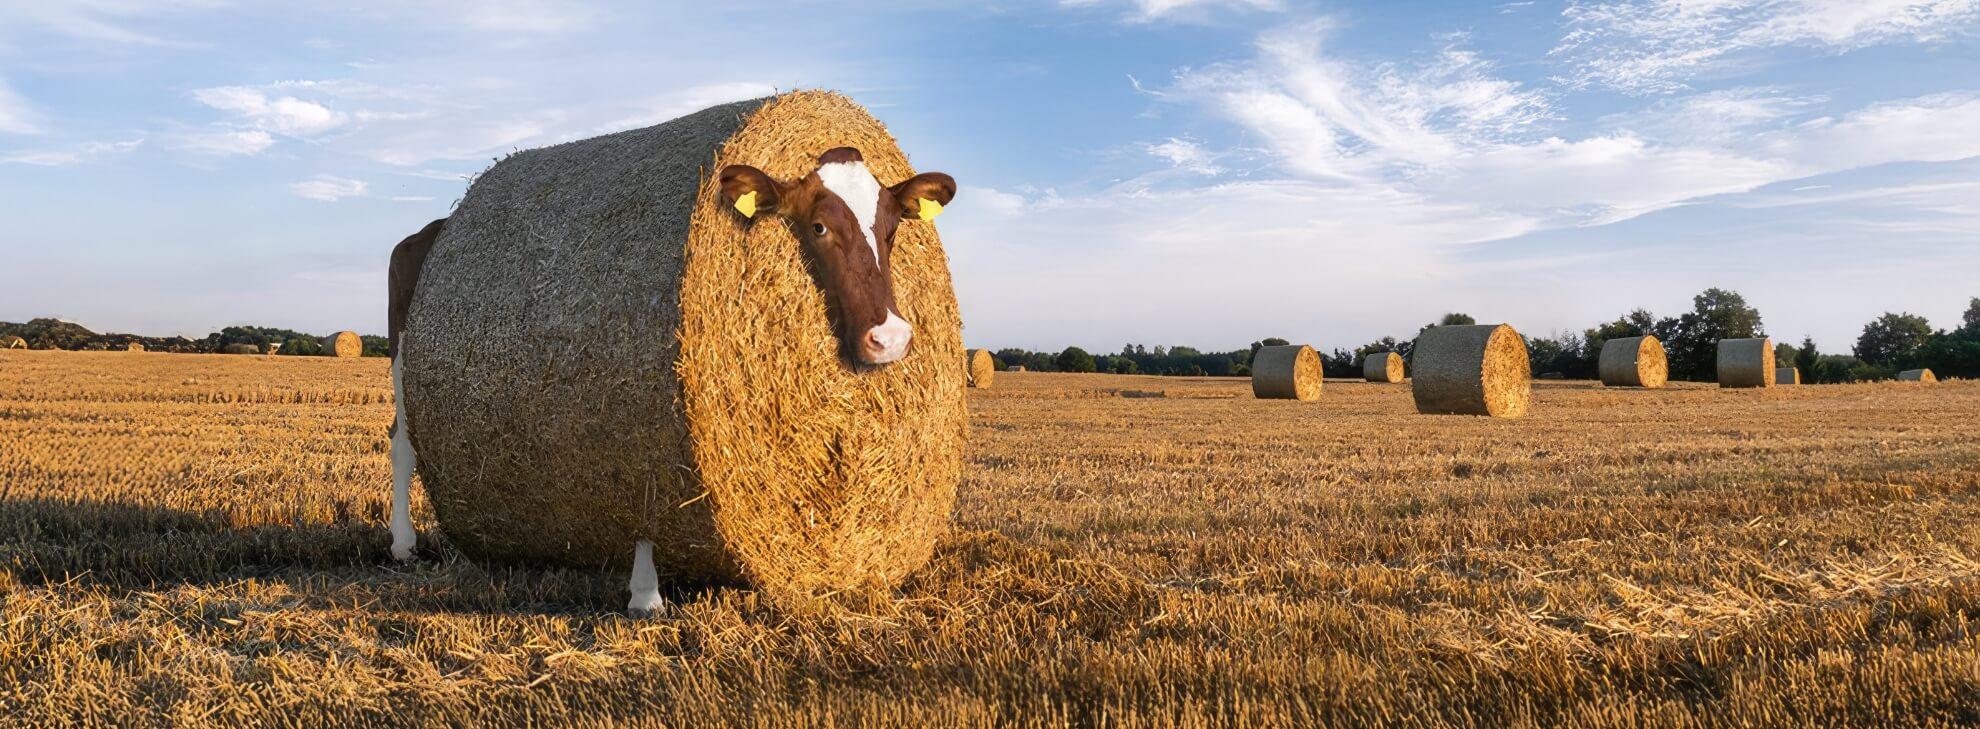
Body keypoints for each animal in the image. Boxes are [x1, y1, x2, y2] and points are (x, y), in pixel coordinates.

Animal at [386, 149, 955, 614]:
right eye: (818, 228)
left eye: (892, 230)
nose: (891, 337)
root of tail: (439, 226)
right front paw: (645, 593)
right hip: (401, 361)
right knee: (401, 444)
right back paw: (402, 544)